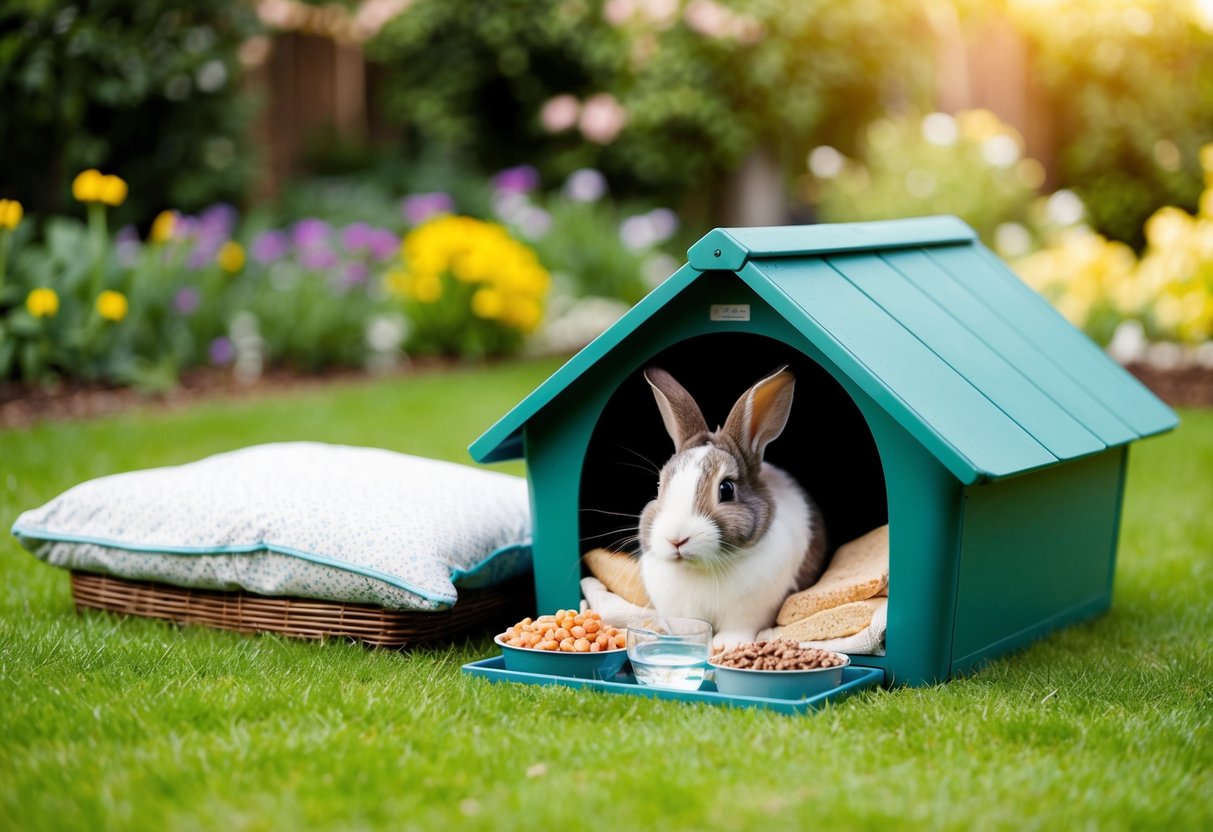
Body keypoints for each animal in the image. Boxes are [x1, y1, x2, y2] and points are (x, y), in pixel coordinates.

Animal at [637, 365, 827, 649]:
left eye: (726, 489)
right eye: (660, 486)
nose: (676, 539)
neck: (701, 569)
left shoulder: (750, 613)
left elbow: (738, 628)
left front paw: (726, 645)